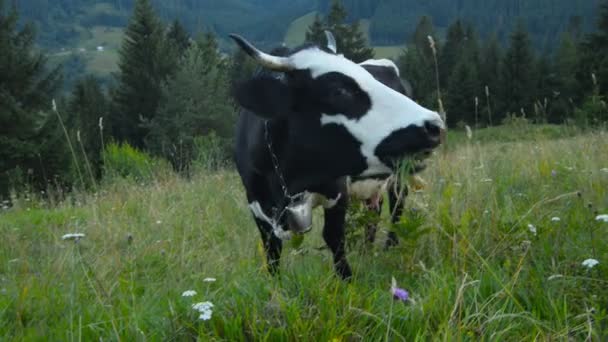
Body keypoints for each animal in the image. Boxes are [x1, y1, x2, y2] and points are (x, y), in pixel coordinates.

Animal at [230, 33, 444, 280]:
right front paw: (276, 285)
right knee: (374, 209)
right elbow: (272, 252)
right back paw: (367, 251)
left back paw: (389, 246)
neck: (289, 183)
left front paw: (347, 280)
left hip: (399, 176)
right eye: (338, 91)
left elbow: (334, 238)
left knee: (397, 203)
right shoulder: (257, 206)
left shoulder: (339, 192)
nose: (435, 125)